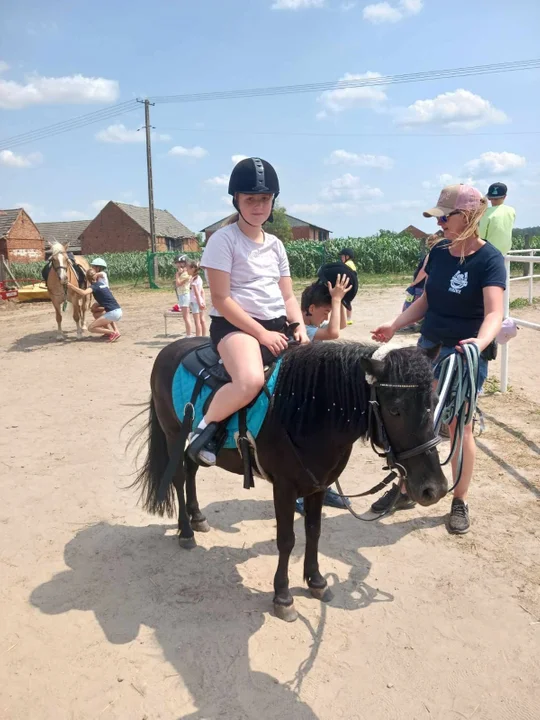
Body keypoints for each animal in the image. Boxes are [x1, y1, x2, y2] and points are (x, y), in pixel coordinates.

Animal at [132, 340, 448, 620]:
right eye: (395, 410)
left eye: (434, 402)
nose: (435, 488)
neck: (305, 412)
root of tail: (169, 349)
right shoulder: (284, 488)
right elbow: (286, 540)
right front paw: (283, 597)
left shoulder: (319, 485)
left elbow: (314, 531)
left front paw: (316, 581)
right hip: (173, 434)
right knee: (177, 478)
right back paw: (186, 531)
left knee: (191, 469)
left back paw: (197, 517)